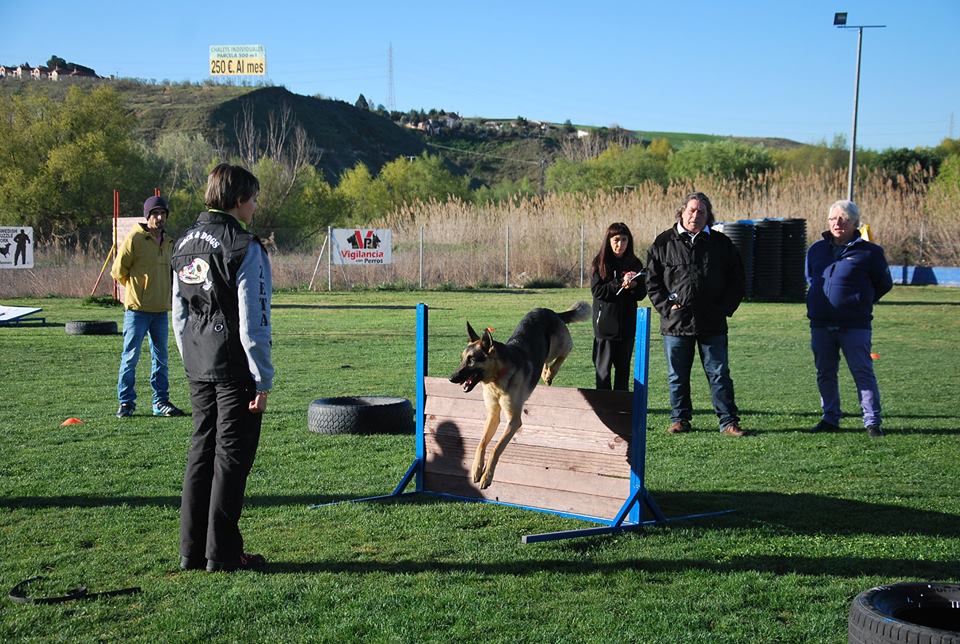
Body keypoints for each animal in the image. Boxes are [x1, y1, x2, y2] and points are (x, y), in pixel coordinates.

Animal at [449, 302, 590, 488]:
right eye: (462, 359)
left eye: (472, 360)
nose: (451, 378)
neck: (496, 378)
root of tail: (549, 311)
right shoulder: (493, 415)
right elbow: (481, 443)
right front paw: (476, 469)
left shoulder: (514, 421)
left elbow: (496, 448)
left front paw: (487, 476)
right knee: (545, 360)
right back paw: (546, 373)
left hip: (560, 345)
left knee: (565, 350)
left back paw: (551, 372)